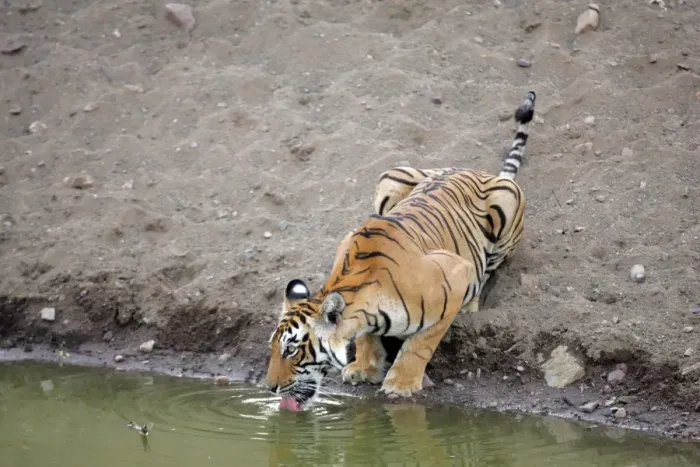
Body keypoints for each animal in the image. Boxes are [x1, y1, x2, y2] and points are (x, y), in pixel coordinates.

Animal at [266, 91, 537, 411]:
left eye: (291, 349)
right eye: (273, 347)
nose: (269, 387)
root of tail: (476, 171)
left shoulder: (457, 271)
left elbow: (420, 344)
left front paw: (400, 385)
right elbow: (367, 337)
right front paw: (365, 367)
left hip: (507, 203)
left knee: (488, 271)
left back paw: (470, 305)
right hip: (391, 175)